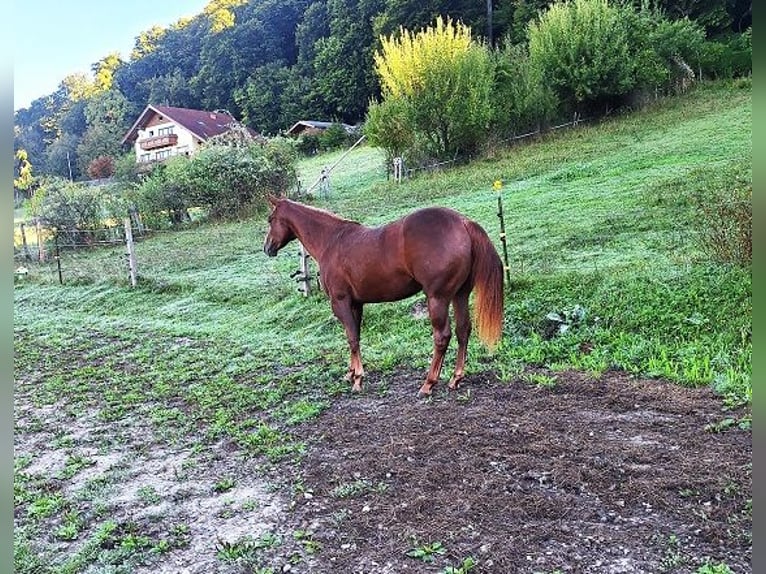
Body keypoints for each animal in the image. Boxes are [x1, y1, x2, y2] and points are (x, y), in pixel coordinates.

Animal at [263, 196, 504, 397]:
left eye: (270, 219)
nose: (267, 248)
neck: (331, 241)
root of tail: (463, 223)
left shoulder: (341, 302)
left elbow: (352, 338)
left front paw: (357, 380)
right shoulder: (356, 304)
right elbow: (355, 336)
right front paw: (351, 373)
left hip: (438, 298)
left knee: (442, 336)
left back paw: (428, 384)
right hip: (459, 295)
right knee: (463, 330)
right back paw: (455, 378)